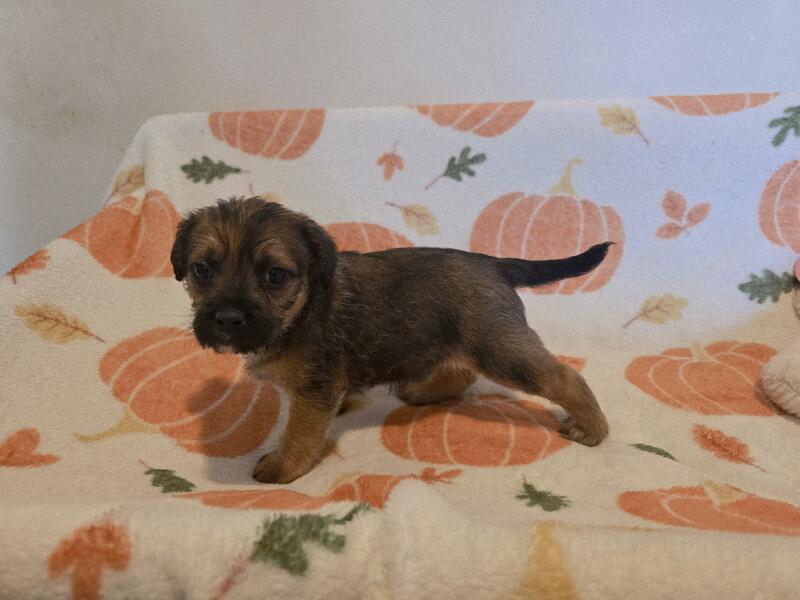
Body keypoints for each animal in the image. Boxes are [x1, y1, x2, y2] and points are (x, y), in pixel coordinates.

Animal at [171, 197, 610, 483]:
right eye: (202, 269)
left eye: (275, 275)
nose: (227, 318)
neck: (301, 311)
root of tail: (494, 264)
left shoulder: (314, 388)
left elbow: (300, 431)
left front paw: (284, 466)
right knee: (462, 372)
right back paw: (422, 391)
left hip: (499, 347)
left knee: (564, 377)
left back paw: (593, 428)